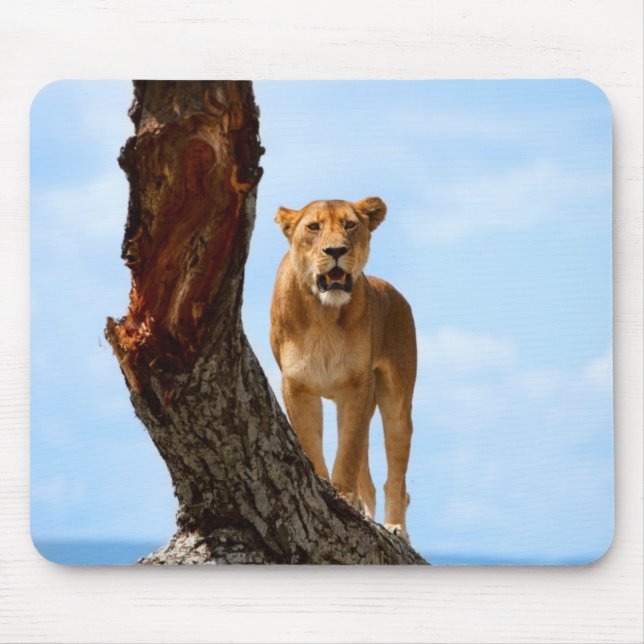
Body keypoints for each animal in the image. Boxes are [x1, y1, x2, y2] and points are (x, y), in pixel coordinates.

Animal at [269, 197, 417, 544]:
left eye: (350, 225)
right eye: (313, 227)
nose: (335, 250)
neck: (324, 314)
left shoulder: (357, 385)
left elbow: (347, 452)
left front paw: (343, 497)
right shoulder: (296, 386)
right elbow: (311, 442)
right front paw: (324, 486)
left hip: (395, 401)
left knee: (396, 478)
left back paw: (395, 528)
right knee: (370, 482)